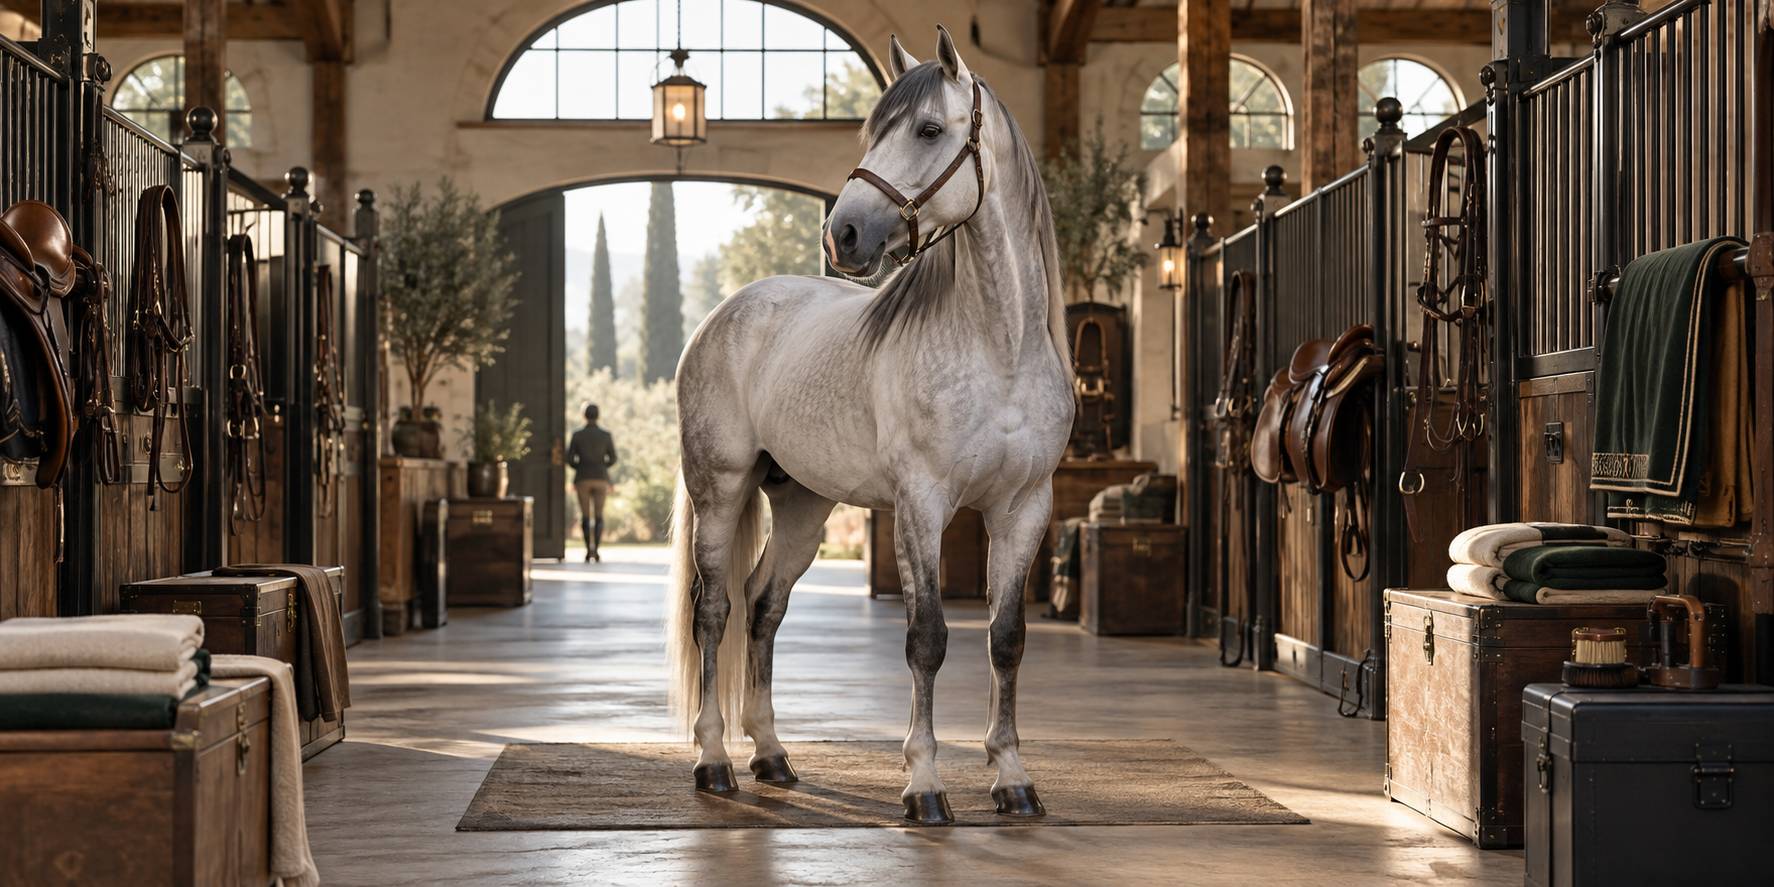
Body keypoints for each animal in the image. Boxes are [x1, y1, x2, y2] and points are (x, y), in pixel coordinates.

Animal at [665, 25, 1073, 825]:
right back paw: (714, 760)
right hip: (720, 490)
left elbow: (1006, 638)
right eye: (874, 131)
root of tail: (724, 315)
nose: (843, 234)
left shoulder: (1024, 507)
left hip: (802, 504)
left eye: (928, 130)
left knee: (764, 605)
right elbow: (927, 639)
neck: (1000, 349)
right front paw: (924, 786)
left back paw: (772, 755)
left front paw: (1013, 779)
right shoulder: (922, 504)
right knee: (715, 610)